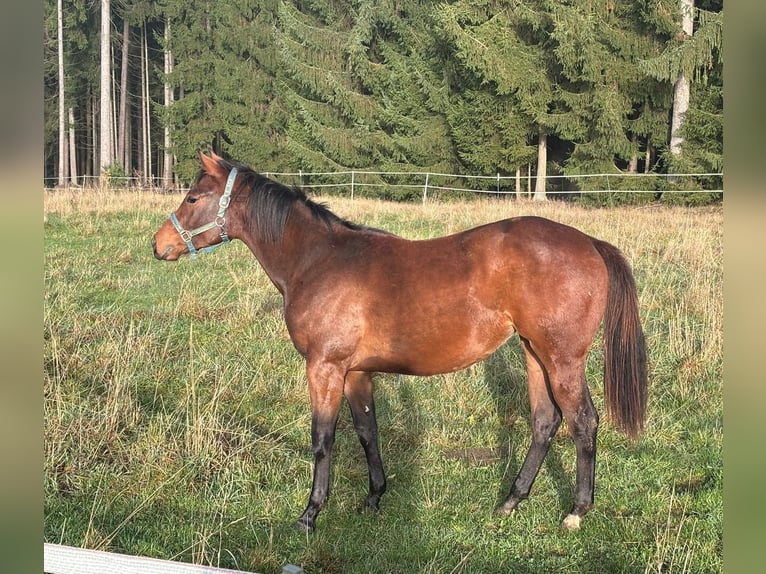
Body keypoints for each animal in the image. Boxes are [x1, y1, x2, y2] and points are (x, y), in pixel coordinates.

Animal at [152, 152, 647, 532]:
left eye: (193, 197)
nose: (158, 245)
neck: (320, 261)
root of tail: (590, 243)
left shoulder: (325, 367)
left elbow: (323, 439)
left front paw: (310, 515)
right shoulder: (356, 372)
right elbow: (367, 433)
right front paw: (374, 497)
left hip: (562, 359)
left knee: (582, 422)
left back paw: (576, 512)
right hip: (532, 353)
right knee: (545, 421)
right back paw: (511, 501)